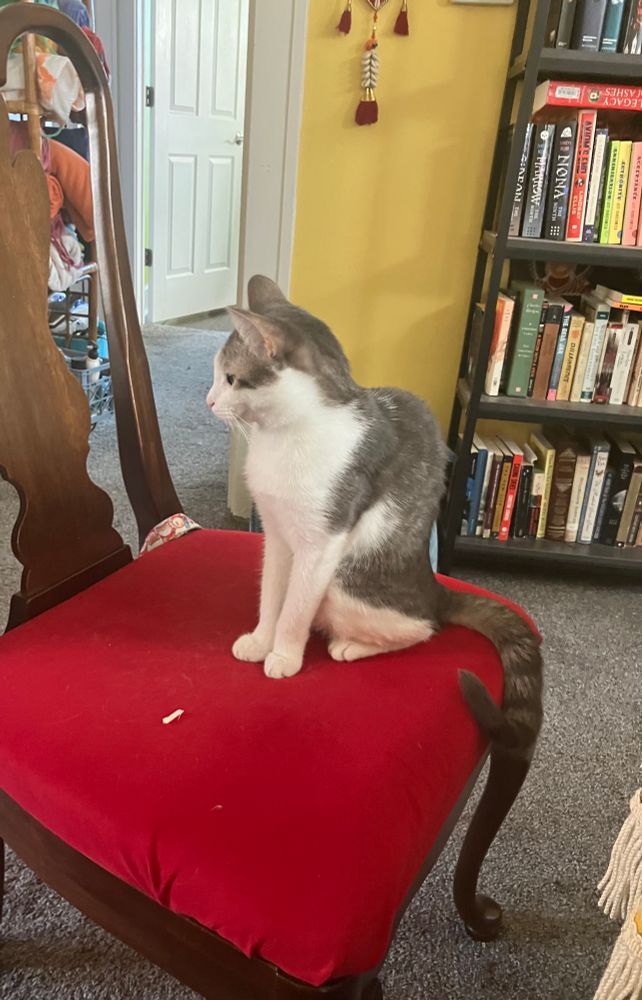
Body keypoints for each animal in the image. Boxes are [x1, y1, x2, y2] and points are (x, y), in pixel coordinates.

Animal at [207, 276, 543, 758]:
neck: (284, 438)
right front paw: (261, 639)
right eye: (218, 377)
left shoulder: (321, 543)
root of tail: (432, 586)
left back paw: (351, 646)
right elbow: (271, 594)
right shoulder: (277, 535)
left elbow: (295, 608)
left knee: (422, 626)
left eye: (231, 378)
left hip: (345, 581)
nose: (209, 400)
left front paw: (284, 654)